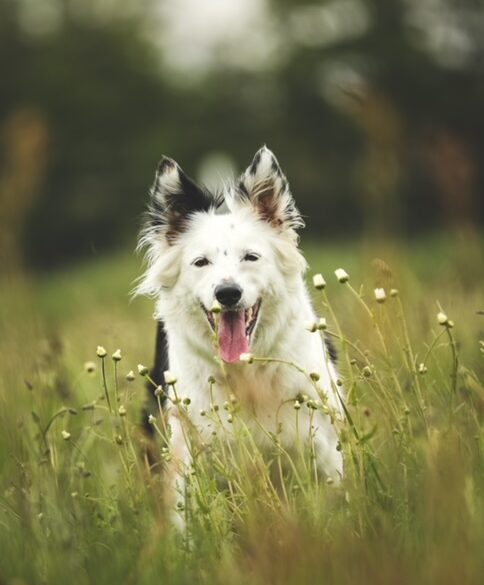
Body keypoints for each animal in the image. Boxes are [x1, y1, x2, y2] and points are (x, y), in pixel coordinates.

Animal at [134, 147, 342, 524]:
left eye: (251, 257)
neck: (247, 371)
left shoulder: (323, 442)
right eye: (201, 262)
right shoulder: (185, 447)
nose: (228, 293)